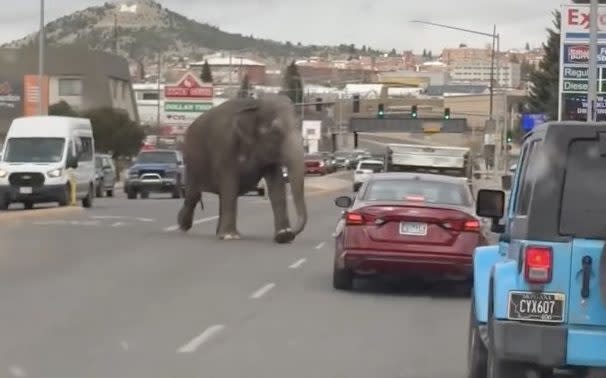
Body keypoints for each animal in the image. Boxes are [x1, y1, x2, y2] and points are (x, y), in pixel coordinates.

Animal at [177, 93, 308, 244]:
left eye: (301, 125)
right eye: (276, 130)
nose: (292, 232)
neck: (255, 104)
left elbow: (277, 185)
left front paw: (283, 235)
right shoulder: (225, 145)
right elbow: (230, 184)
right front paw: (230, 236)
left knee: (218, 197)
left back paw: (218, 232)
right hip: (192, 162)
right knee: (194, 194)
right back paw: (183, 226)